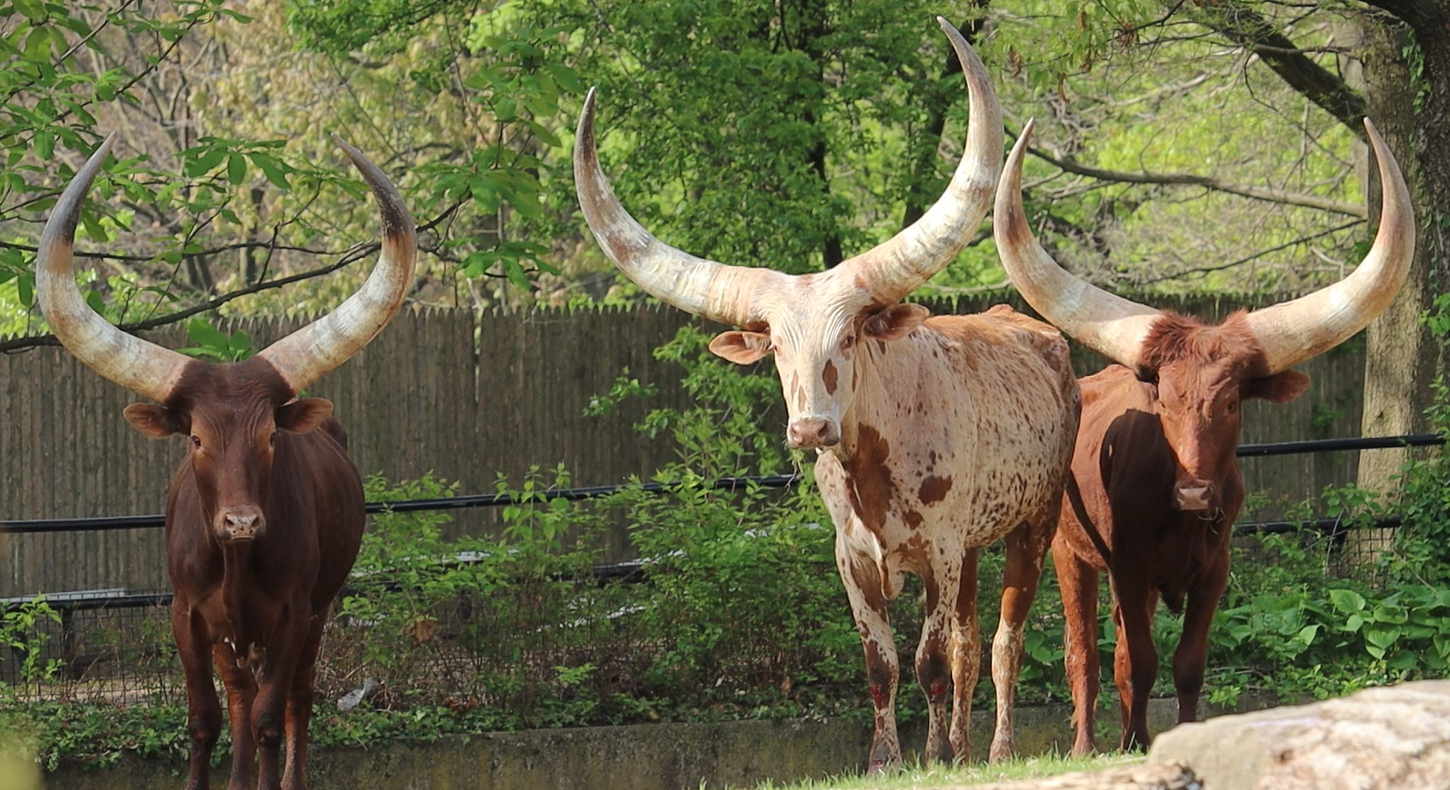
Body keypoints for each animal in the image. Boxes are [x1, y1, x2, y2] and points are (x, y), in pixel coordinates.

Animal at [35, 135, 420, 788]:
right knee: (239, 695)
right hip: (231, 636)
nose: (241, 522)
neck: (238, 562)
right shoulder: (187, 617)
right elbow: (204, 719)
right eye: (195, 439)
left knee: (295, 698)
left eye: (269, 437)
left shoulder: (293, 615)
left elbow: (270, 717)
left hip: (316, 613)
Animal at [571, 20, 1084, 771]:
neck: (873, 468)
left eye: (847, 338)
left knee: (1000, 641)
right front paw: (887, 758)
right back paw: (962, 745)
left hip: (1033, 524)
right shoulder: (854, 559)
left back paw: (992, 750)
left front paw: (931, 757)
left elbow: (930, 662)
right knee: (968, 642)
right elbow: (883, 665)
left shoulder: (939, 549)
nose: (809, 430)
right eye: (776, 349)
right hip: (975, 550)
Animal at [991, 117, 1409, 753]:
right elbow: (1138, 660)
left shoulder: (1215, 571)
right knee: (1085, 653)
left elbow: (1186, 663)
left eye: (1232, 401)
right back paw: (1090, 741)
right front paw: (1130, 745)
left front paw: (1179, 734)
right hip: (1067, 553)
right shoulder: (1127, 566)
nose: (1192, 493)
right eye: (1163, 400)